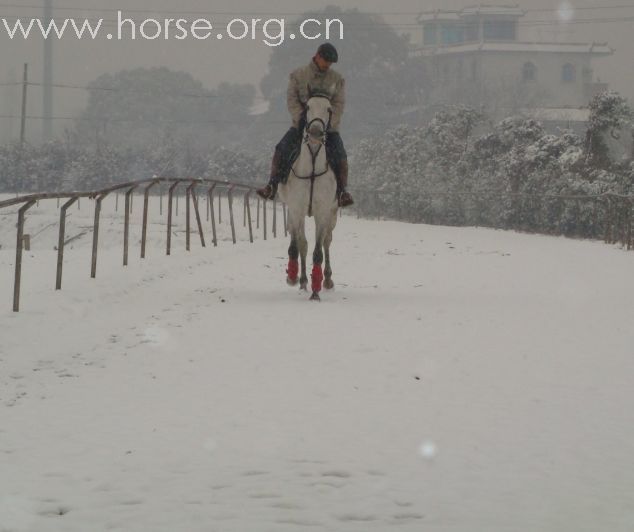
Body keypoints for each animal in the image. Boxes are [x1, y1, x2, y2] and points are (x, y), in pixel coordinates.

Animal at [276, 94, 336, 302]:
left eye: (329, 109)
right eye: (307, 106)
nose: (316, 132)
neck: (311, 169)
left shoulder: (322, 212)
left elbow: (318, 250)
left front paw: (316, 291)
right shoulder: (296, 209)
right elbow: (297, 245)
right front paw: (293, 277)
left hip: (332, 214)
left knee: (326, 242)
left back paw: (327, 280)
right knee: (302, 243)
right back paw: (301, 280)